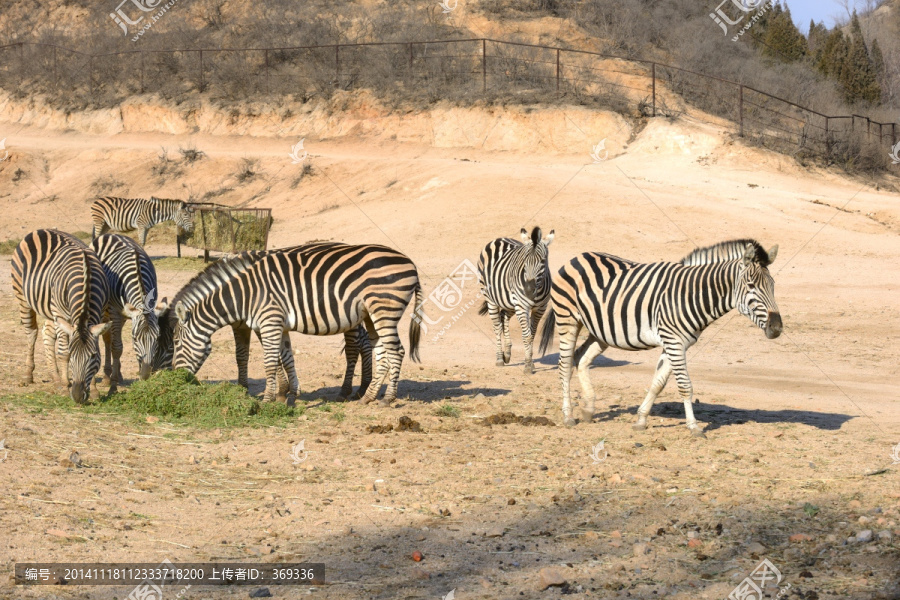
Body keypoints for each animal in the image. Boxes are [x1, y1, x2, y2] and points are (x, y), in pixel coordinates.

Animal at [11, 230, 110, 404]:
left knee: (47, 334)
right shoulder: (61, 314)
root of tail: (39, 230)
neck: (86, 277)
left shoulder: (99, 314)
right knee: (31, 333)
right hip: (23, 298)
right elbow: (63, 352)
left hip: (50, 309)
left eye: (92, 356)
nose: (77, 396)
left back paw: (56, 379)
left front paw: (94, 391)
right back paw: (29, 376)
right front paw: (65, 387)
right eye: (73, 355)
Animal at [92, 232, 168, 392]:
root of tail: (110, 233)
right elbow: (117, 347)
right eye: (134, 338)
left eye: (157, 338)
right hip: (104, 310)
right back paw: (108, 376)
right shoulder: (114, 312)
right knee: (108, 340)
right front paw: (113, 385)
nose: (145, 374)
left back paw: (117, 374)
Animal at [171, 241, 420, 406]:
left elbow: (270, 363)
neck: (247, 295)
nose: (175, 378)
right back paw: (367, 396)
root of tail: (411, 263)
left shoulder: (269, 321)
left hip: (384, 309)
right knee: (381, 352)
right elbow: (287, 357)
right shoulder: (278, 326)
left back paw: (387, 399)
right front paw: (290, 394)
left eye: (175, 344)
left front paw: (268, 400)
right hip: (371, 315)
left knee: (396, 351)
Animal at [478, 226, 556, 372]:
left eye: (543, 261)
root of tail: (499, 239)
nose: (528, 289)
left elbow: (532, 334)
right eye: (525, 261)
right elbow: (527, 336)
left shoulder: (540, 308)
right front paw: (528, 365)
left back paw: (507, 353)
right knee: (497, 326)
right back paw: (499, 358)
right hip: (491, 299)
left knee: (504, 317)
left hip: (510, 303)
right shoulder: (522, 306)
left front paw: (529, 361)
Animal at [536, 239, 784, 436]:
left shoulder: (676, 343)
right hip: (568, 319)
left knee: (581, 358)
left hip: (601, 332)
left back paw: (588, 409)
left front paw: (640, 420)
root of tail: (577, 257)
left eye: (773, 285)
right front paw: (694, 427)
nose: (777, 328)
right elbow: (685, 386)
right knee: (564, 365)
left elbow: (658, 384)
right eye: (751, 286)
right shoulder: (674, 342)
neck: (691, 295)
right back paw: (568, 416)